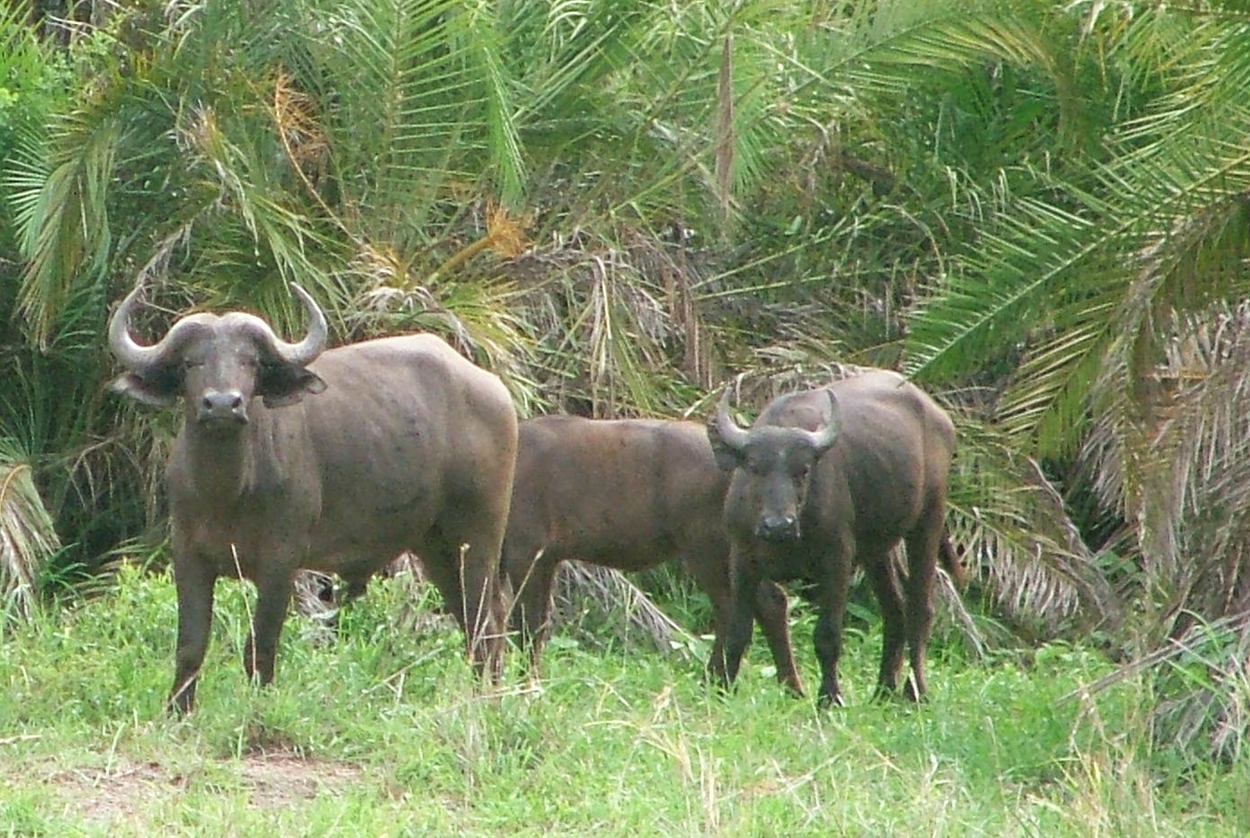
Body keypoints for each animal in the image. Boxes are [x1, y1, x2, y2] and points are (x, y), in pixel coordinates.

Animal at [108, 285, 517, 710]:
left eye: (251, 361)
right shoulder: (188, 555)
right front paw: (178, 712)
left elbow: (261, 646)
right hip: (435, 546)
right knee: (470, 617)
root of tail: (495, 391)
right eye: (191, 362)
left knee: (487, 617)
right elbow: (190, 646)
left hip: (480, 536)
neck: (227, 493)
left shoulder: (281, 560)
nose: (222, 404)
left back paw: (490, 697)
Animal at [502, 415, 805, 695]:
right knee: (770, 602)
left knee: (733, 611)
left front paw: (526, 685)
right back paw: (791, 688)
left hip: (708, 549)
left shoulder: (526, 551)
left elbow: (527, 625)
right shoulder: (544, 559)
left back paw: (715, 683)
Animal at [710, 375, 960, 710]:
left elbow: (827, 636)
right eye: (753, 467)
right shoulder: (741, 559)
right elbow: (738, 630)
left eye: (803, 470)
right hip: (878, 549)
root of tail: (938, 416)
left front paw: (829, 698)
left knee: (920, 607)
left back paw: (914, 691)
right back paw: (883, 690)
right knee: (894, 608)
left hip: (929, 518)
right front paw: (726, 688)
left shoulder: (837, 562)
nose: (778, 525)